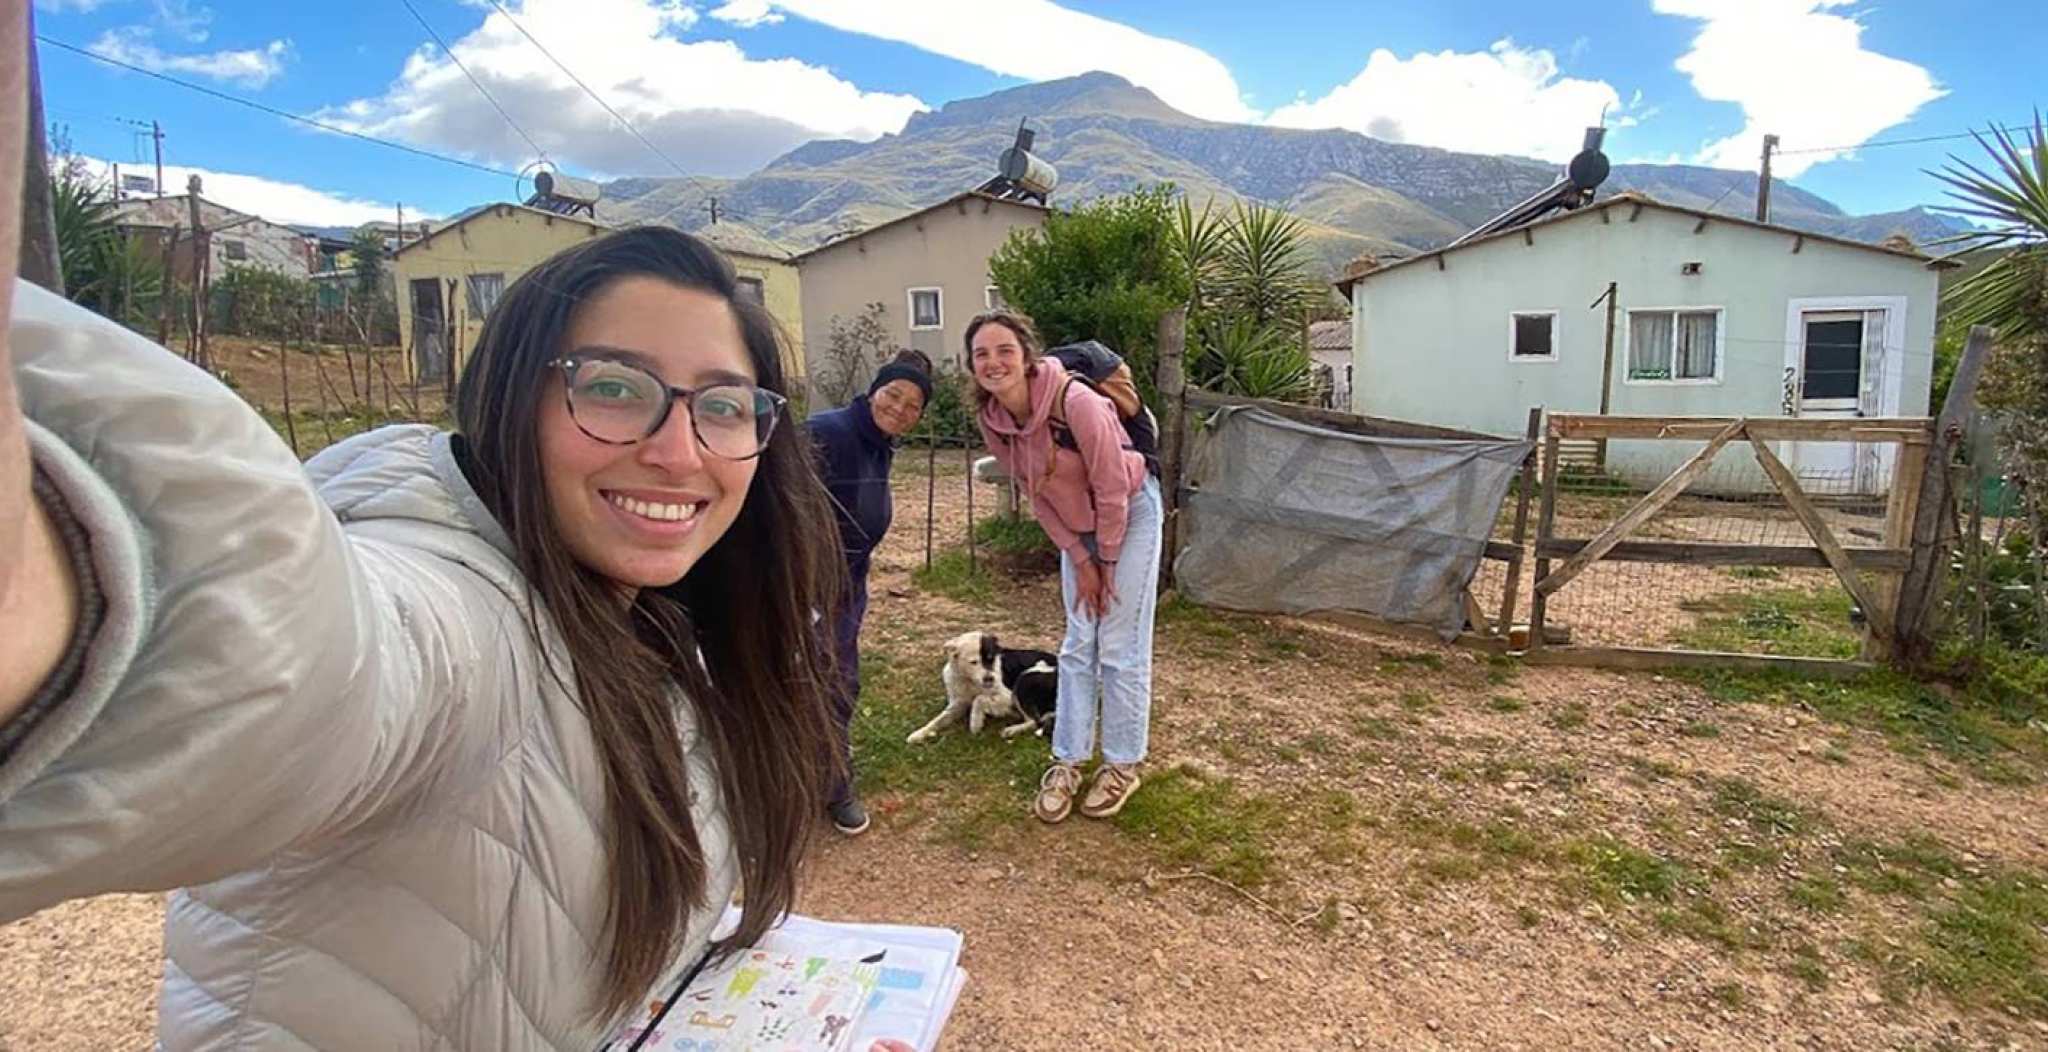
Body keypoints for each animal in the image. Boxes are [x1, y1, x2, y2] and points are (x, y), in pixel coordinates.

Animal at [917, 626, 1073, 740]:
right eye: (974, 662)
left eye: (991, 659)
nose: (990, 679)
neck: (970, 680)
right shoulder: (957, 704)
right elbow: (938, 720)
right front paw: (919, 733)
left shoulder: (1008, 696)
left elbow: (979, 699)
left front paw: (975, 723)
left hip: (1025, 678)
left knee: (1034, 721)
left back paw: (1012, 730)